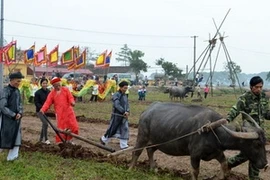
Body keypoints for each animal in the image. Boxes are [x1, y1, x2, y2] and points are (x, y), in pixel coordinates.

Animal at [129, 102, 268, 180]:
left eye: (265, 142)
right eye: (257, 144)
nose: (265, 164)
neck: (213, 130)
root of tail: (146, 111)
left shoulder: (217, 153)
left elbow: (225, 165)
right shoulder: (194, 155)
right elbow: (195, 172)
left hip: (157, 141)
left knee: (150, 150)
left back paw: (153, 169)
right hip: (142, 137)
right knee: (136, 152)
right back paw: (131, 168)